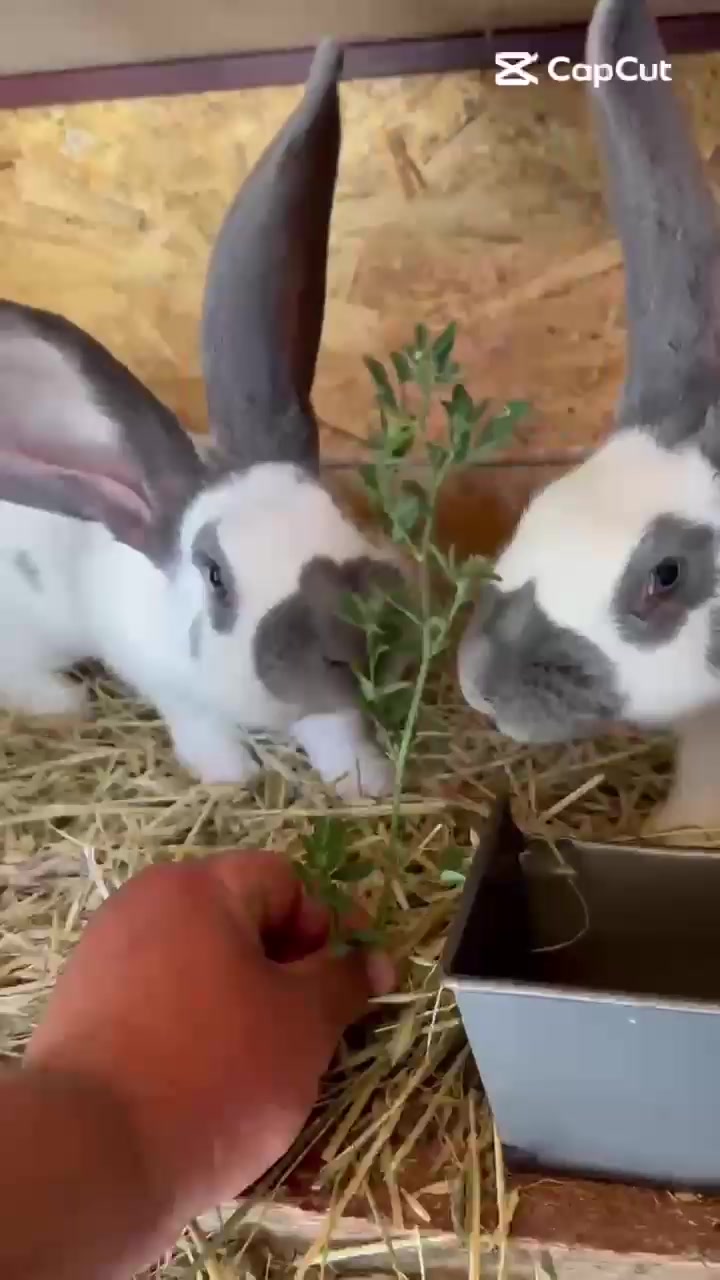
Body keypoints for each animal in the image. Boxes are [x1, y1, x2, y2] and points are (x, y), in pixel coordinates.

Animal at [0, 41, 403, 800]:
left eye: (343, 511)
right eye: (215, 575)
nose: (357, 637)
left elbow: (335, 727)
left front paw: (366, 782)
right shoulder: (161, 677)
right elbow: (198, 722)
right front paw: (229, 775)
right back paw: (63, 701)